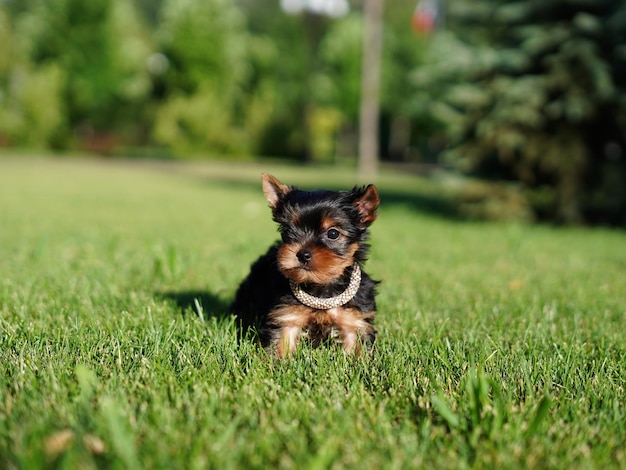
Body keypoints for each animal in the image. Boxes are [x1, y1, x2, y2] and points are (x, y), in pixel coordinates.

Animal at [228, 174, 376, 358]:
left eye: (333, 233)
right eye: (288, 230)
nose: (302, 254)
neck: (321, 287)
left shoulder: (353, 319)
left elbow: (357, 346)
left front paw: (360, 363)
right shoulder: (288, 315)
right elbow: (281, 342)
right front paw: (277, 362)